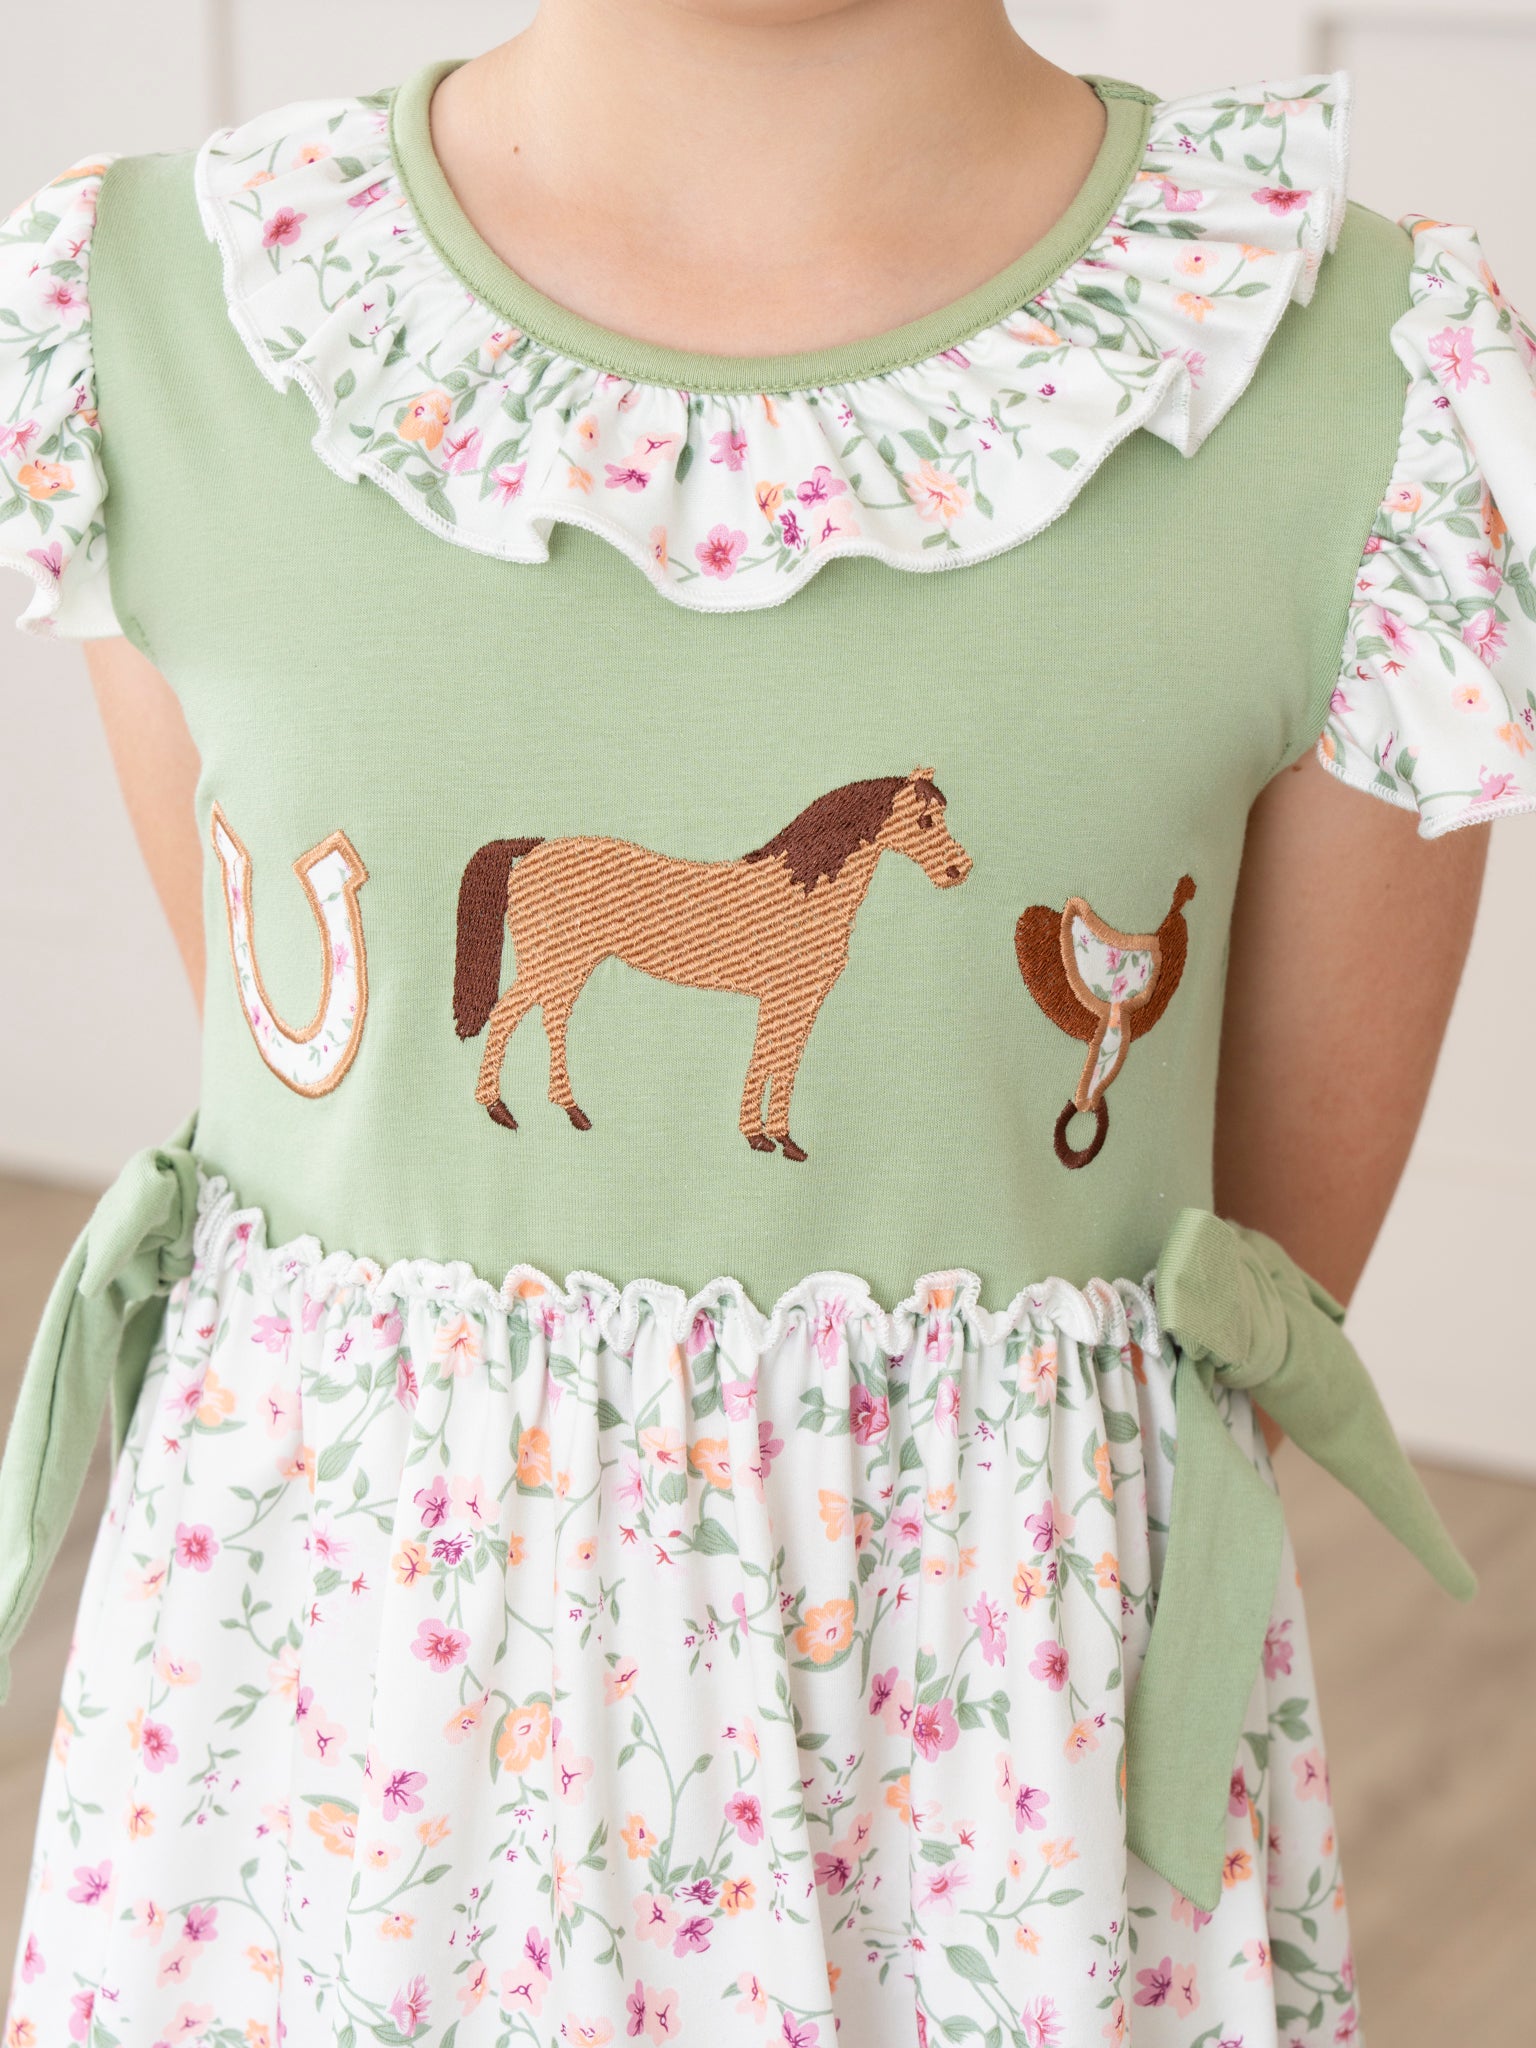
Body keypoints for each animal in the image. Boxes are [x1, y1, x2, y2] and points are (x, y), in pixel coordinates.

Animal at [453, 769, 972, 1160]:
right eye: (925, 819)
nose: (959, 870)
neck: (804, 895)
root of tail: (536, 846)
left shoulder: (803, 999)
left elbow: (785, 1063)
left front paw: (785, 1141)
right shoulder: (781, 994)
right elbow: (766, 1057)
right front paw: (759, 1137)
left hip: (571, 964)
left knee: (551, 1018)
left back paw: (570, 1111)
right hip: (549, 961)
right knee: (506, 1015)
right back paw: (498, 1109)